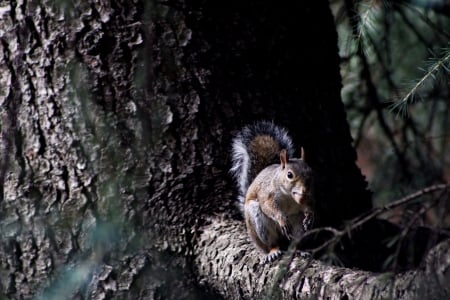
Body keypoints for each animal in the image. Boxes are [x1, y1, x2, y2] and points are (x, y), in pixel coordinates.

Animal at [230, 122, 314, 262]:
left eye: (311, 172)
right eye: (289, 175)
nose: (305, 189)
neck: (289, 196)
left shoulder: (307, 197)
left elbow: (309, 205)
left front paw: (310, 216)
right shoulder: (267, 194)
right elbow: (269, 207)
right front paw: (282, 219)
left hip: (298, 226)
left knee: (294, 242)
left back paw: (300, 250)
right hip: (259, 223)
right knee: (271, 243)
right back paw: (273, 251)